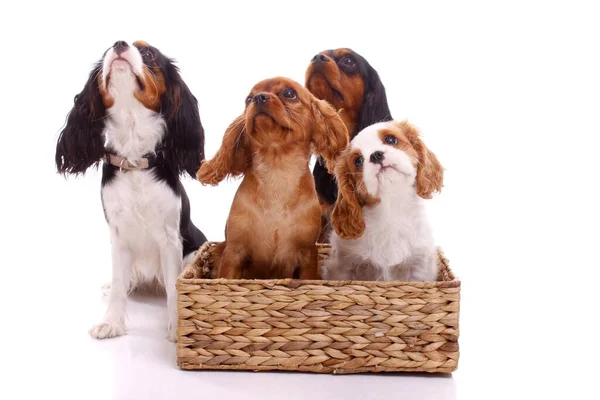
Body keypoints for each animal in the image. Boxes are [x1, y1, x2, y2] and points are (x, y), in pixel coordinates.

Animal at [197, 77, 350, 278]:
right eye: (248, 99)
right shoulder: (233, 252)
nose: (259, 98)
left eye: (289, 93)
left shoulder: (308, 254)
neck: (277, 171)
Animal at [326, 121, 442, 282]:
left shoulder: (419, 268)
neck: (390, 207)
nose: (375, 155)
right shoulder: (344, 267)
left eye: (391, 139)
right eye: (358, 161)